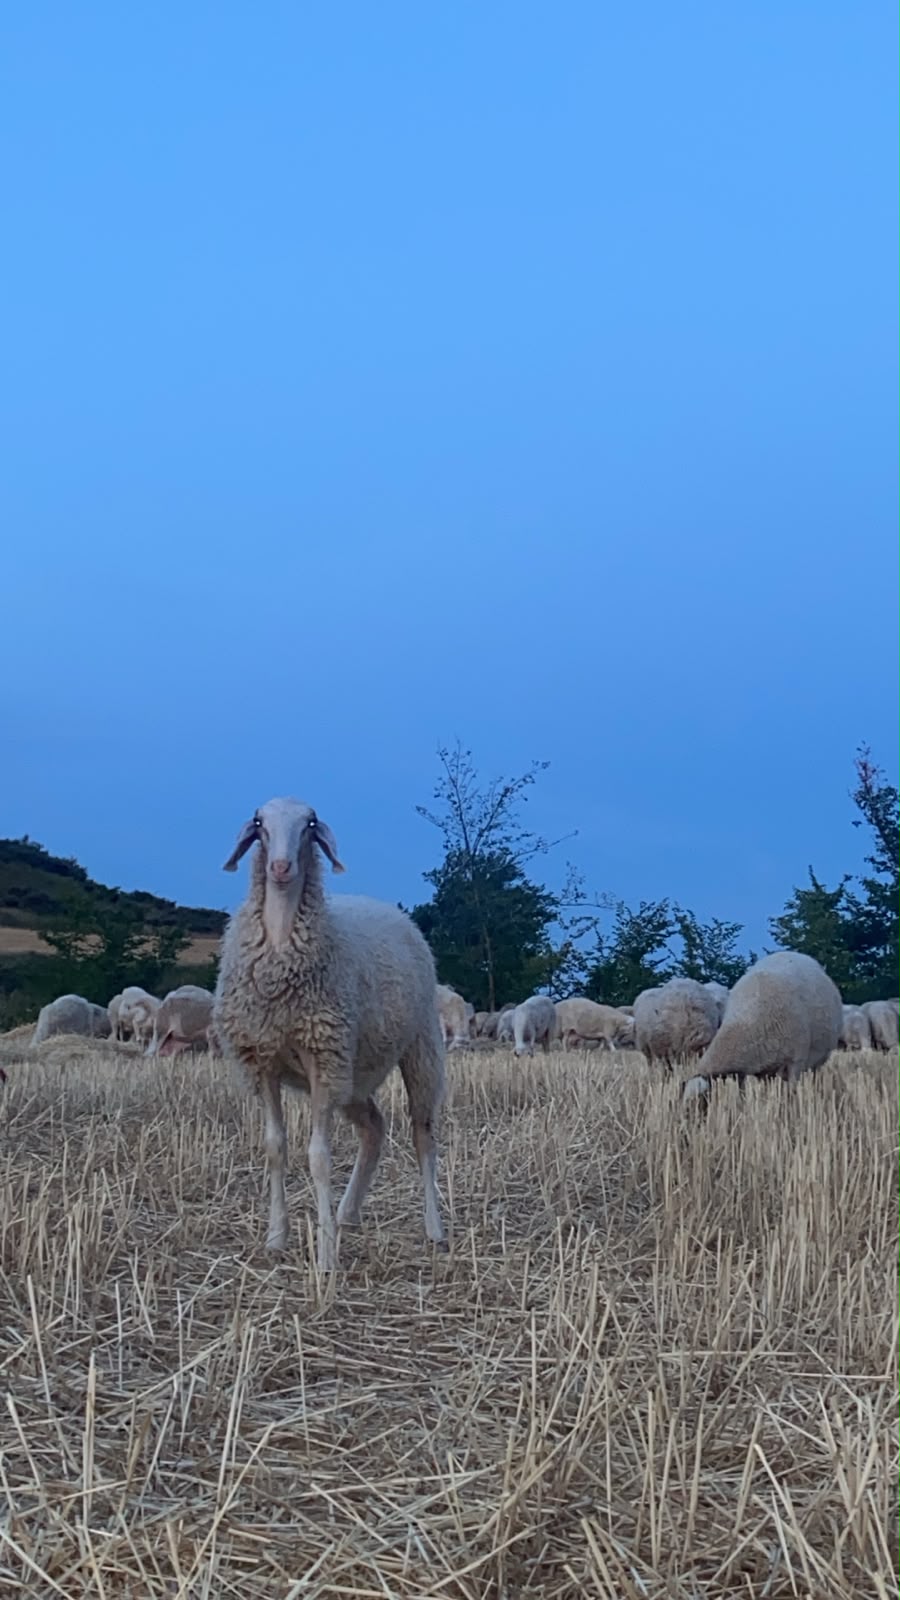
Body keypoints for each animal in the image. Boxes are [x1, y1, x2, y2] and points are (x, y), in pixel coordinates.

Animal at [212, 797, 446, 1271]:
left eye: (310, 824)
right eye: (259, 823)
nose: (281, 867)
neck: (281, 947)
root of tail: (389, 908)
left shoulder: (321, 1060)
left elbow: (319, 1157)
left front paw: (324, 1257)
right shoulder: (264, 1060)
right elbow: (275, 1148)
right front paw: (276, 1239)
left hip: (419, 1050)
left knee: (423, 1135)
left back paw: (434, 1228)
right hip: (353, 1072)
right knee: (374, 1128)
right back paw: (347, 1214)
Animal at [683, 950, 842, 1102]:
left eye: (700, 1100)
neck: (745, 1023)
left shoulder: (796, 1061)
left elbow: (792, 1091)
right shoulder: (749, 1069)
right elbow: (743, 1094)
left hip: (817, 1059)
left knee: (814, 1074)